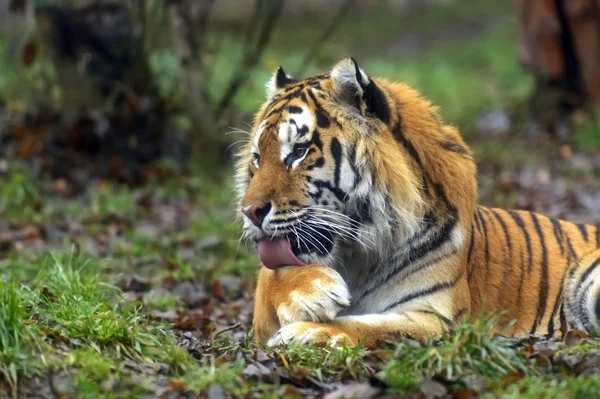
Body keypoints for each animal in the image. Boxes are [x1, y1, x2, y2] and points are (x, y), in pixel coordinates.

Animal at [236, 57, 600, 348]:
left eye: (298, 152)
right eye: (257, 158)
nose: (249, 212)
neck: (355, 256)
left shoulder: (435, 317)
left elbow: (369, 327)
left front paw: (308, 331)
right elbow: (269, 277)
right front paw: (313, 289)